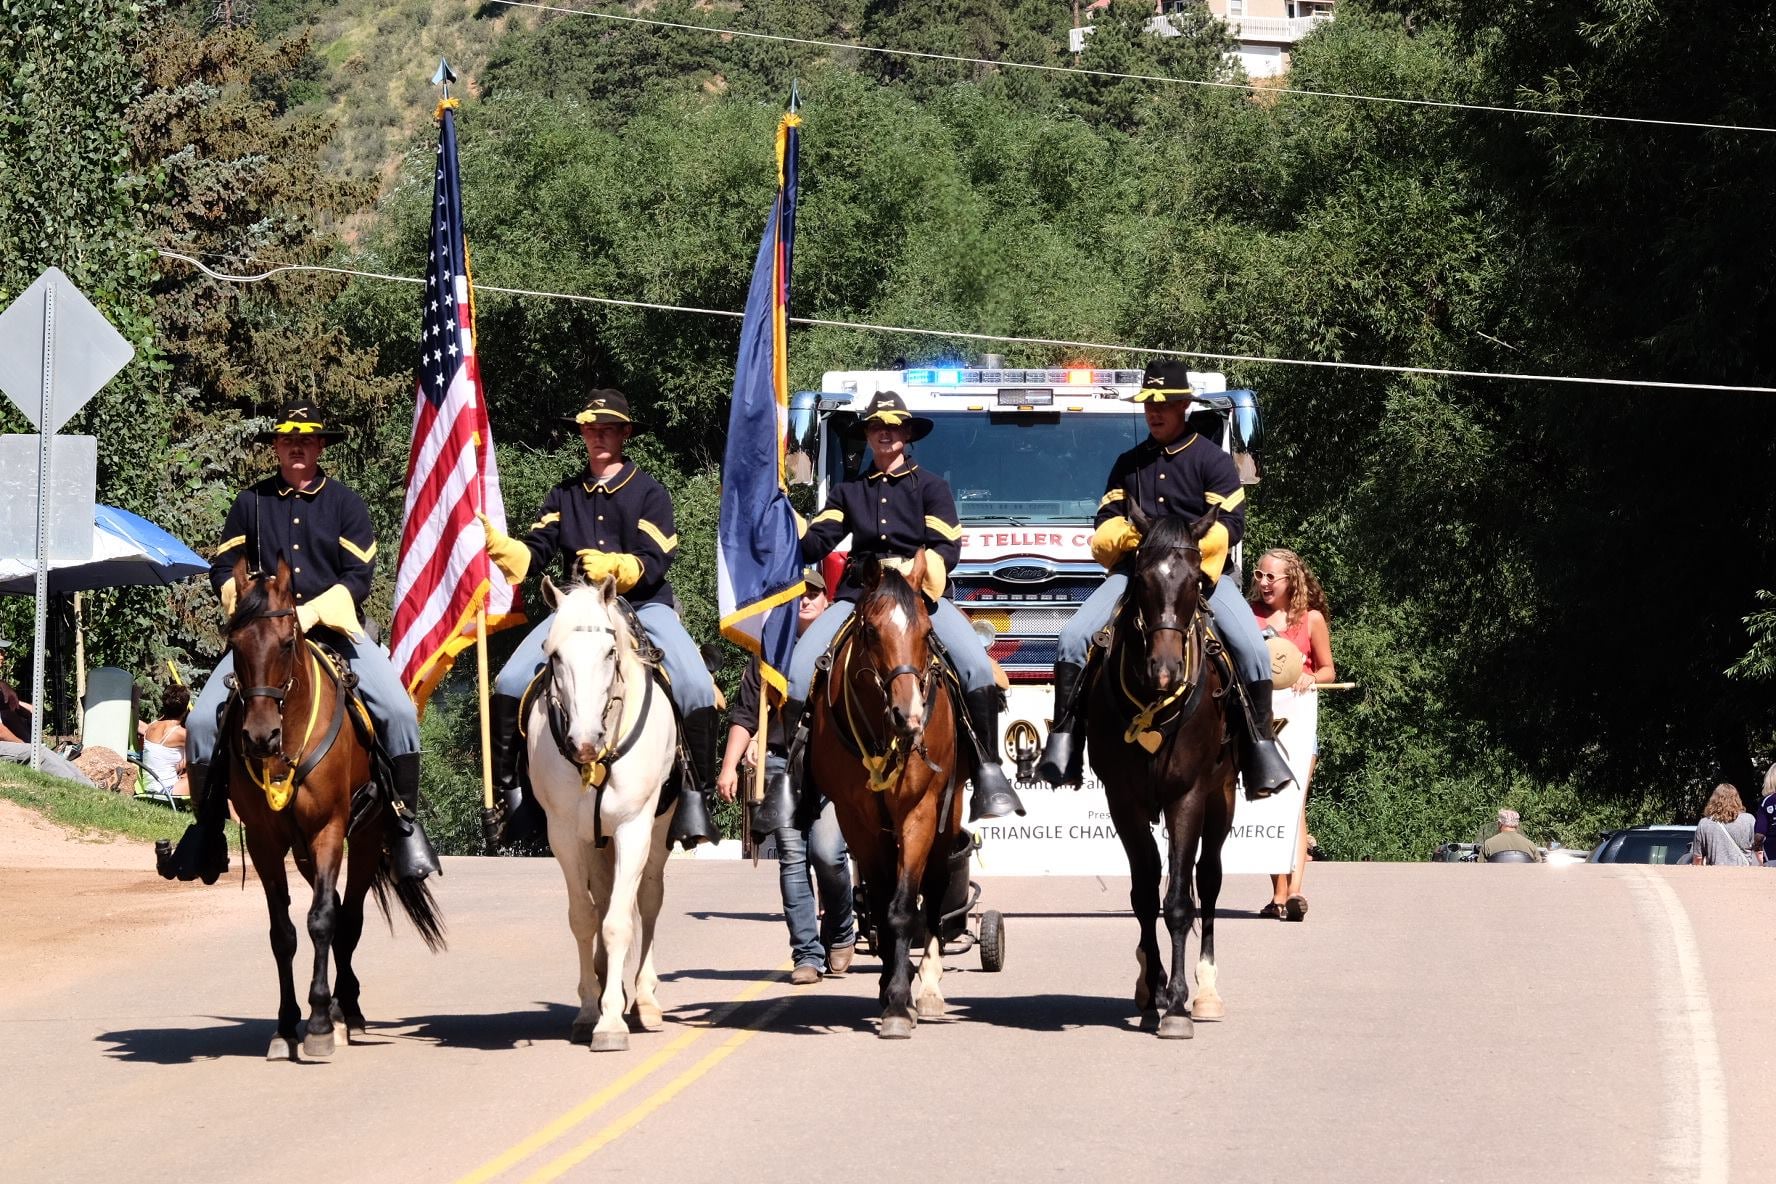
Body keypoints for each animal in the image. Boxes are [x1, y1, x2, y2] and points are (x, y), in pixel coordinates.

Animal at [221, 557, 444, 1065]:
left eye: (287, 642)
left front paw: (320, 1021)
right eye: (234, 644)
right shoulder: (265, 841)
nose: (259, 736)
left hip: (364, 837)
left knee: (350, 916)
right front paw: (286, 1024)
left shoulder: (329, 829)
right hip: (305, 852)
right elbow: (283, 932)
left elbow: (323, 920)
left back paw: (348, 1011)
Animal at [525, 578, 678, 1050]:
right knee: (605, 898)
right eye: (553, 652)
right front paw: (590, 1010)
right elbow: (583, 917)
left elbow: (618, 924)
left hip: (657, 835)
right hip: (595, 842)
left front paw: (610, 1021)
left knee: (648, 902)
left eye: (610, 652)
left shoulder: (634, 828)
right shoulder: (563, 835)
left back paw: (644, 1000)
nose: (584, 742)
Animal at [813, 550, 966, 1043]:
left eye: (925, 630)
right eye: (871, 631)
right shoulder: (856, 819)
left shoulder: (919, 813)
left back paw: (930, 986)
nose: (910, 716)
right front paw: (887, 989)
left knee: (935, 891)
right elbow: (880, 905)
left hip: (948, 816)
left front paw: (901, 1002)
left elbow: (902, 908)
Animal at [1079, 504, 1236, 1043]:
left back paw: (1207, 990)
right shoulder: (1123, 801)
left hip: (1222, 798)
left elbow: (1180, 901)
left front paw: (1179, 1004)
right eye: (1142, 579)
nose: (1165, 669)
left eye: (1195, 580)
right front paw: (1153, 992)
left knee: (1207, 880)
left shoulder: (1186, 795)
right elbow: (1145, 893)